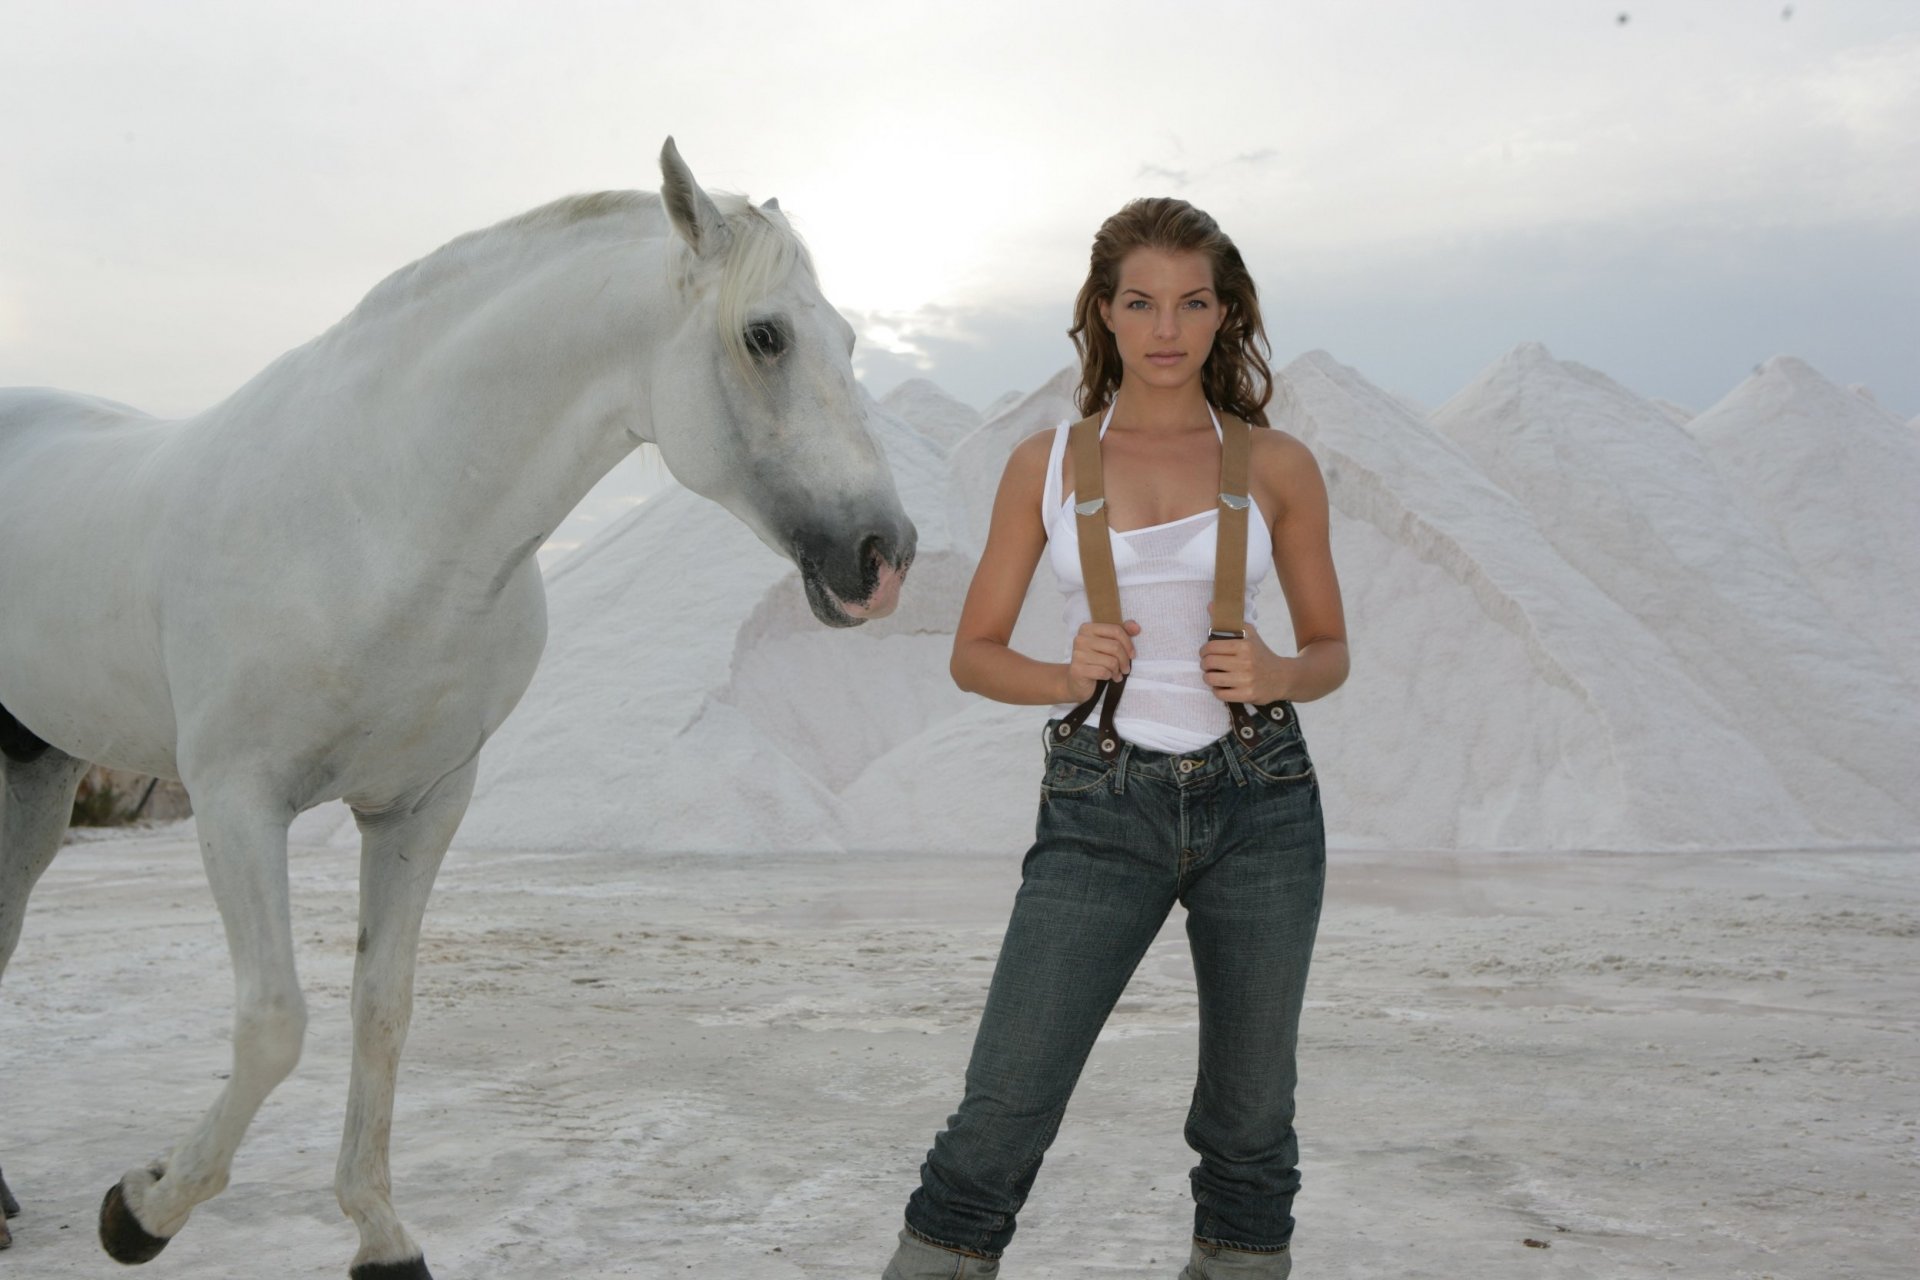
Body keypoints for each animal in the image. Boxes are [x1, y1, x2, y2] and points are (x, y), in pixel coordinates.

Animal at [0, 135, 913, 1274]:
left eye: (846, 337)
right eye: (766, 335)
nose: (884, 555)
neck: (381, 517)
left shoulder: (421, 805)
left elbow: (381, 1010)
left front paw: (379, 1231)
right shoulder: (235, 801)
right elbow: (274, 1022)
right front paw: (142, 1208)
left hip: (37, 773)